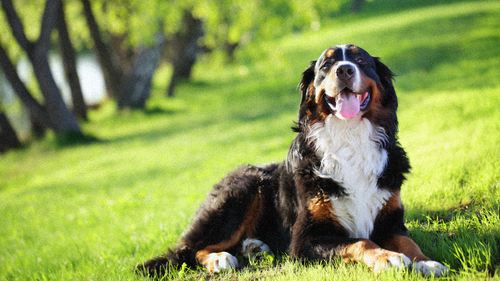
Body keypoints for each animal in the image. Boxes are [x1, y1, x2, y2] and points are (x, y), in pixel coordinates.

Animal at [137, 43, 450, 276]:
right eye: (326, 66)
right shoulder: (305, 239)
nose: (344, 70)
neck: (349, 138)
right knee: (192, 249)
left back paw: (255, 247)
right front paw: (388, 258)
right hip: (244, 188)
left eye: (361, 60)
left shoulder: (391, 221)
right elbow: (360, 242)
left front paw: (427, 261)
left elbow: (407, 242)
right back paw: (220, 259)